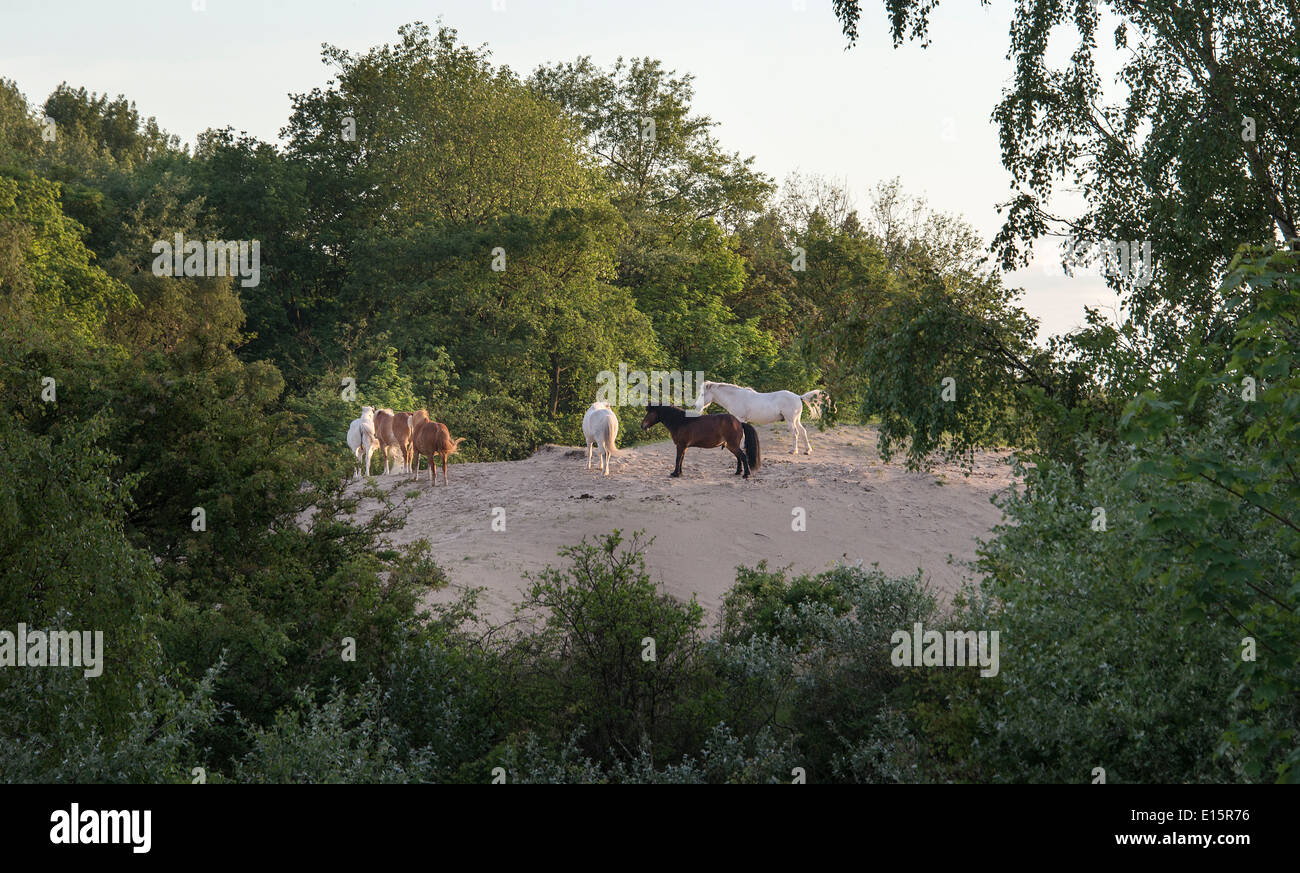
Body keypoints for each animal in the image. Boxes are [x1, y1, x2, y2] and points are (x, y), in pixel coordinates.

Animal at [691, 379, 832, 454]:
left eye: (703, 394)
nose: (695, 406)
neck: (735, 397)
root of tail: (798, 396)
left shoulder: (740, 418)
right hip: (796, 420)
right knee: (803, 432)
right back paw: (807, 450)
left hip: (790, 420)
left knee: (796, 433)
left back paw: (793, 450)